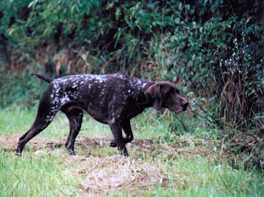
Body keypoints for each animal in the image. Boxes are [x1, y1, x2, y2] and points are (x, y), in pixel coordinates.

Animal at [15, 73, 189, 156]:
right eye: (169, 93)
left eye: (178, 91)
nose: (186, 103)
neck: (135, 90)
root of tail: (53, 81)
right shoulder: (114, 122)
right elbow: (122, 146)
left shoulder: (124, 121)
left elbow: (129, 137)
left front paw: (112, 143)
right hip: (45, 117)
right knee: (22, 138)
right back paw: (18, 155)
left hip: (76, 121)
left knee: (69, 144)